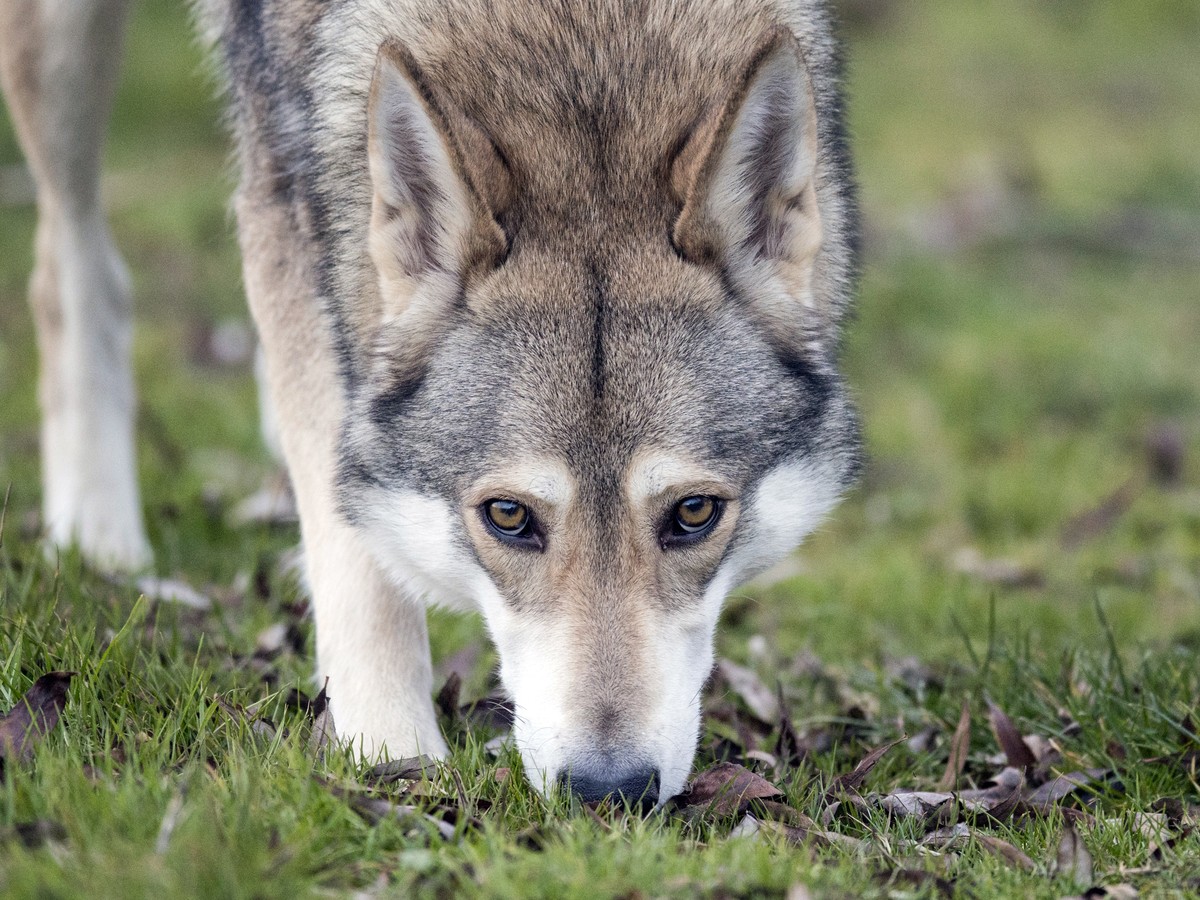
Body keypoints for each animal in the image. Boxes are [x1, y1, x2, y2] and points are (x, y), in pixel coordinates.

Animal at [0, 0, 864, 801]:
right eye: (509, 517)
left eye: (693, 514)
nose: (608, 790)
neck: (580, 44)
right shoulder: (283, 197)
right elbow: (357, 554)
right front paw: (393, 756)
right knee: (67, 263)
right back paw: (98, 537)